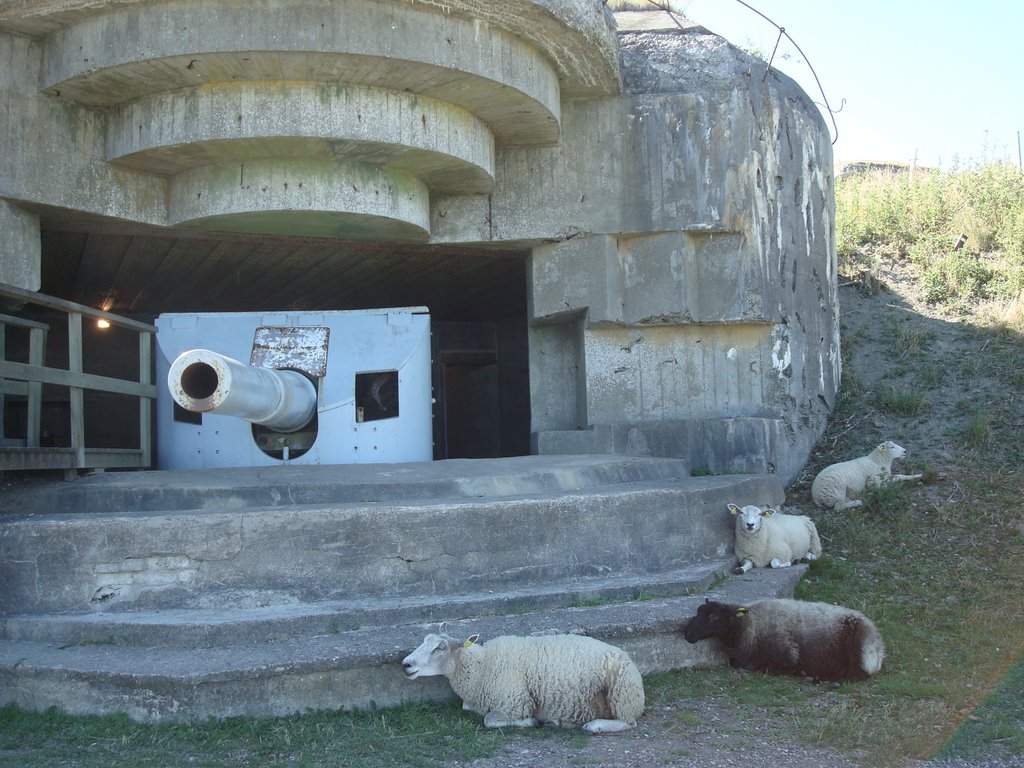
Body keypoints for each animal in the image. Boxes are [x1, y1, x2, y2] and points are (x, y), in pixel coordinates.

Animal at [397, 630, 638, 733]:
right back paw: (557, 722)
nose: (406, 664)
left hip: (621, 693)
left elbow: (490, 720)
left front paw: (529, 721)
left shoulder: (514, 702)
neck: (482, 666)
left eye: (440, 647)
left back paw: (595, 726)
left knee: (628, 722)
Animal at [679, 598, 888, 684]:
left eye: (714, 617)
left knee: (862, 673)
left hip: (861, 647)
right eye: (698, 612)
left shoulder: (787, 654)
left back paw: (836, 681)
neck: (750, 624)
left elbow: (772, 668)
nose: (688, 634)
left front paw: (804, 673)